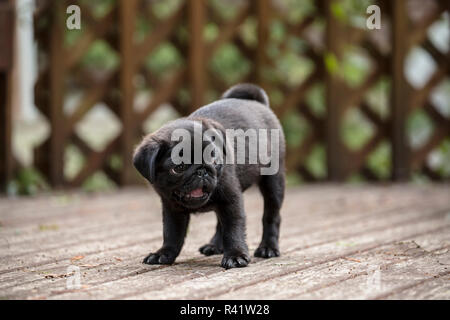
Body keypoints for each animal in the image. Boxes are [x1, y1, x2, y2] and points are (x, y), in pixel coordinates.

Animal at [132, 82, 284, 268]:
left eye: (213, 158)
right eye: (178, 167)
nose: (202, 170)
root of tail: (258, 103)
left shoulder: (231, 200)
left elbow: (233, 228)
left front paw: (235, 255)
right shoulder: (172, 208)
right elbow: (172, 233)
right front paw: (164, 253)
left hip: (273, 182)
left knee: (271, 215)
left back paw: (268, 248)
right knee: (220, 222)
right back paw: (215, 245)